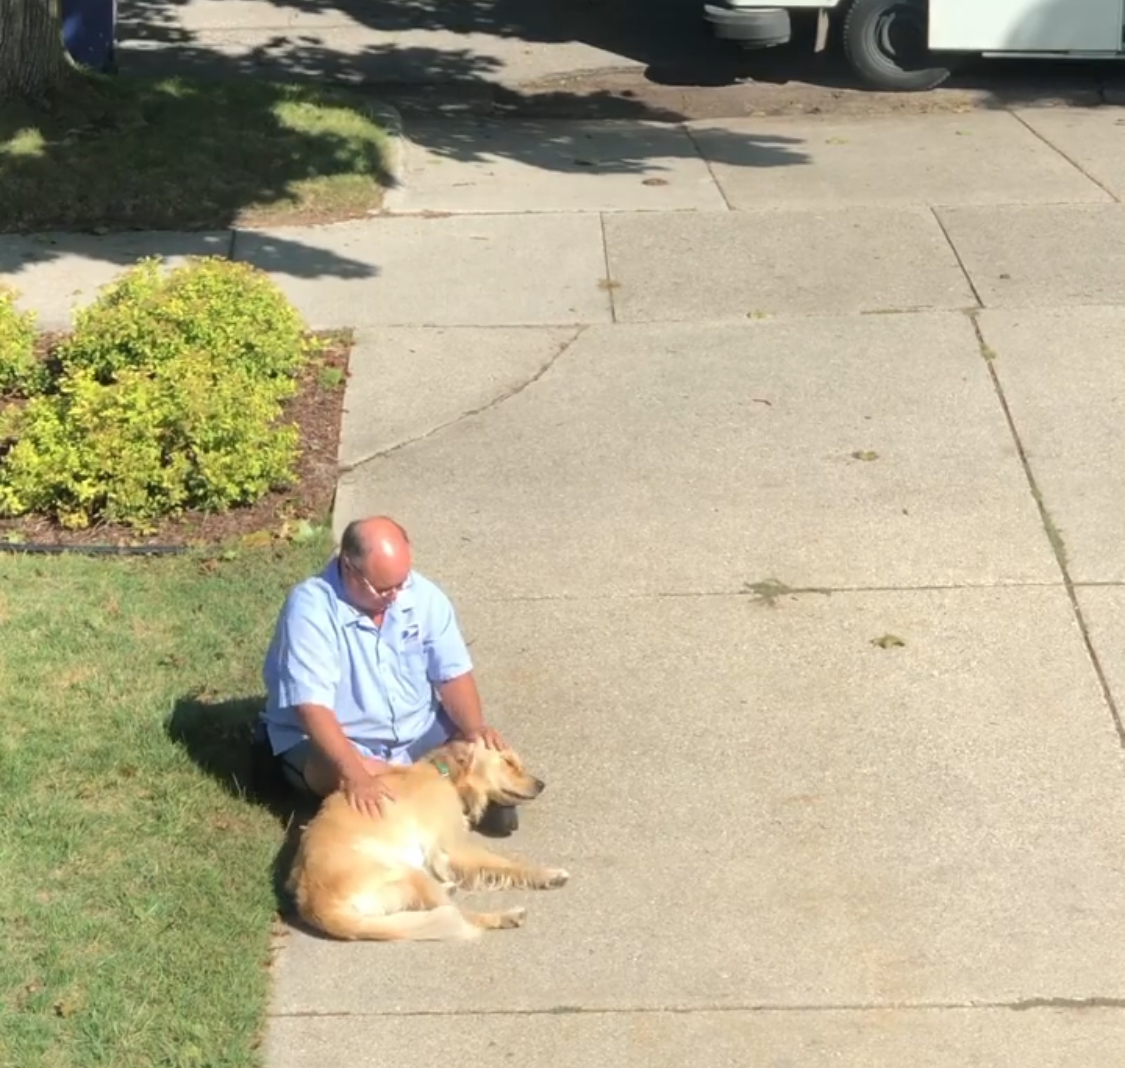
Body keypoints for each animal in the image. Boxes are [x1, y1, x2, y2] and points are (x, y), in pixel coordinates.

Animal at [288, 738, 571, 936]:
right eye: (508, 762)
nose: (541, 785)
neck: (445, 776)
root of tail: (315, 904)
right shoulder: (453, 848)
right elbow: (509, 864)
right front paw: (549, 874)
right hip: (408, 874)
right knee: (460, 915)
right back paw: (506, 917)